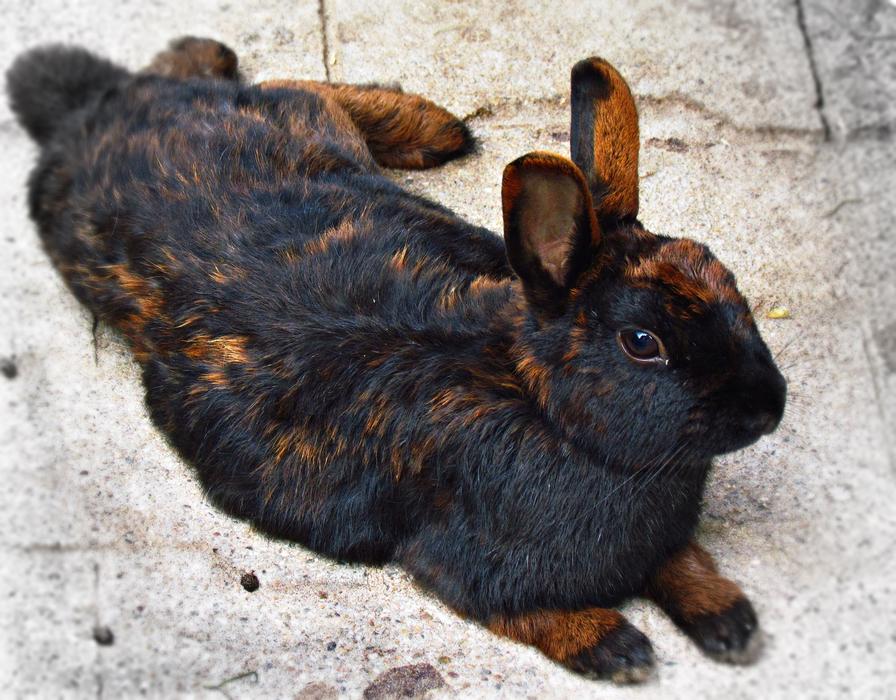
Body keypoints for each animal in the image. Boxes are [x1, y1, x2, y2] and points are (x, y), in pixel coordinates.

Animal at [7, 37, 786, 683]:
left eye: (726, 278)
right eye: (642, 343)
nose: (769, 406)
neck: (542, 407)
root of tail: (102, 107)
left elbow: (683, 563)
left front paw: (731, 623)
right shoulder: (461, 563)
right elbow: (526, 611)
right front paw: (621, 650)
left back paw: (433, 127)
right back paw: (437, 128)